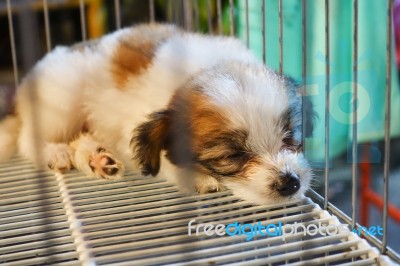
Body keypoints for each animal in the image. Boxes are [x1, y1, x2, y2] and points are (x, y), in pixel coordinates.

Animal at [0, 23, 312, 206]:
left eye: (289, 139)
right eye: (232, 156)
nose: (290, 182)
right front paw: (195, 178)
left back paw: (97, 160)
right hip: (62, 99)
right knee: (29, 139)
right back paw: (57, 152)